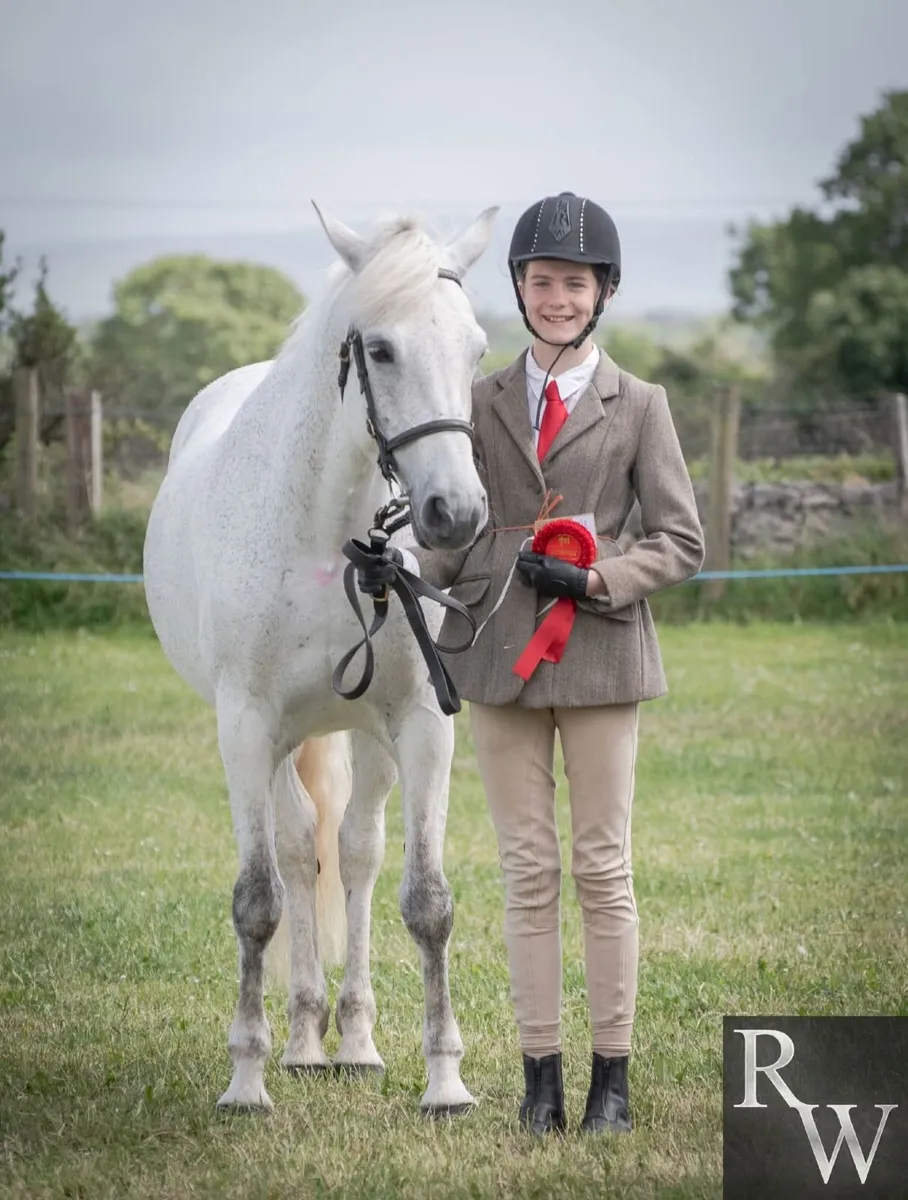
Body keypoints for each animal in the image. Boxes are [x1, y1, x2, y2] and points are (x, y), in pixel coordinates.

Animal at [142, 203, 498, 1115]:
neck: (323, 533)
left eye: (477, 348)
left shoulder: (421, 725)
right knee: (302, 850)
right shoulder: (245, 728)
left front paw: (445, 1080)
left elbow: (427, 901)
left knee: (355, 851)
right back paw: (303, 1041)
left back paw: (356, 1043)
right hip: (275, 743)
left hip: (366, 738)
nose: (453, 512)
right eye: (381, 348)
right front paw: (245, 1079)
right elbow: (258, 900)